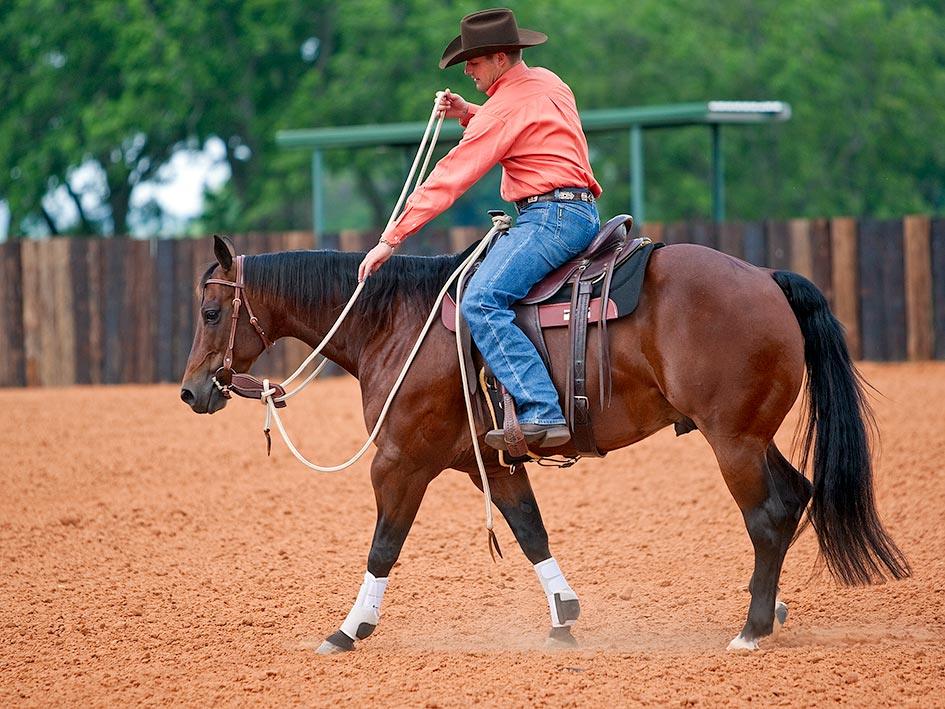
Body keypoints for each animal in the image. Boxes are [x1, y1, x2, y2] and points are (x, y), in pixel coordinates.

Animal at [180, 233, 910, 653]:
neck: (398, 321)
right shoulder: (493, 463)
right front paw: (563, 615)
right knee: (794, 497)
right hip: (753, 435)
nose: (190, 392)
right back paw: (770, 608)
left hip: (730, 438)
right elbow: (531, 531)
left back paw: (751, 628)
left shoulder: (401, 462)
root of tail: (766, 279)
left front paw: (349, 629)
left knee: (767, 513)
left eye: (211, 311)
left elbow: (383, 546)